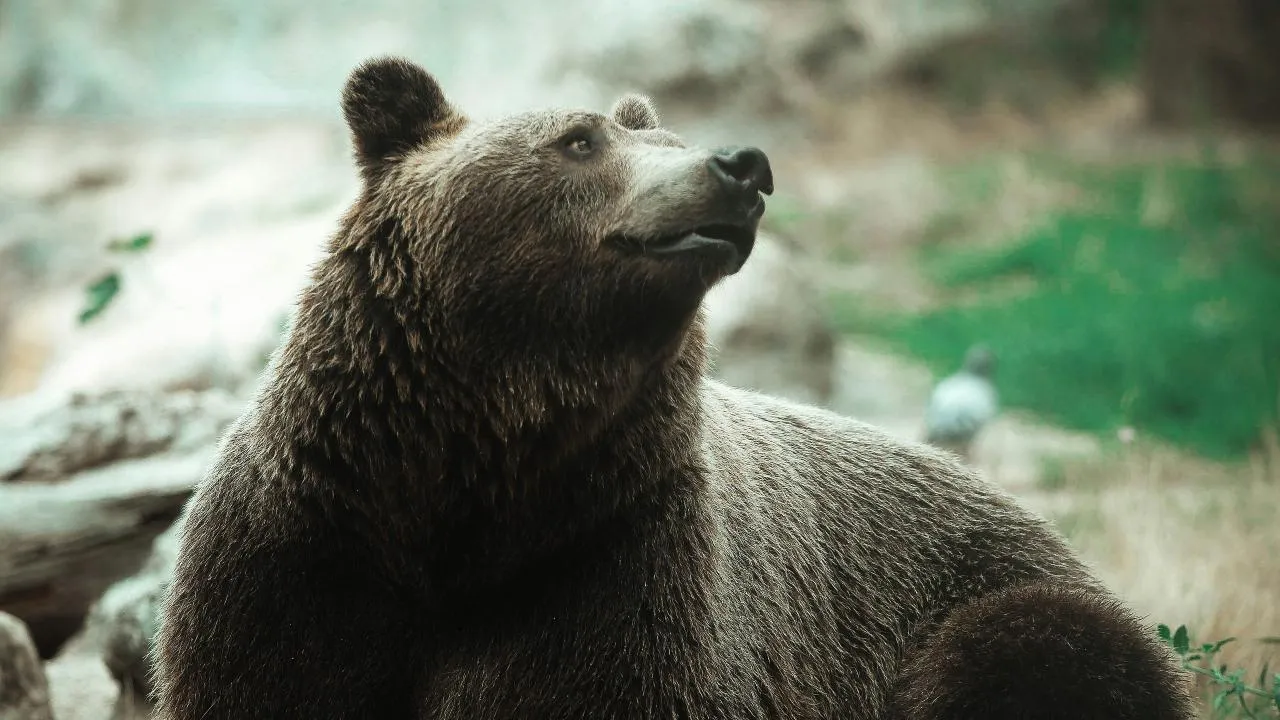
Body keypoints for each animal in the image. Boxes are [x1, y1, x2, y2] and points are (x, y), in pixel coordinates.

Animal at [152, 57, 1198, 717]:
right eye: (578, 139)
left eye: (662, 133)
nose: (742, 165)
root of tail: (1042, 523)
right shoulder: (300, 566)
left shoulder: (616, 574)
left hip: (987, 605)